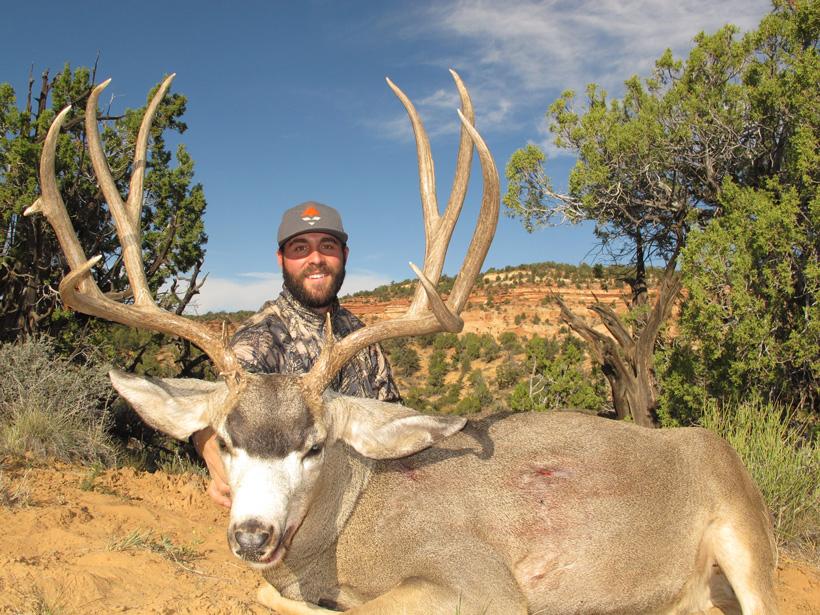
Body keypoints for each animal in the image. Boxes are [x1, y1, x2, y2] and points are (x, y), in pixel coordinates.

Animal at [26, 70, 779, 615]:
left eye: (314, 446)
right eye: (228, 442)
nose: (252, 534)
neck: (353, 527)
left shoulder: (484, 582)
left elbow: (341, 607)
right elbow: (266, 589)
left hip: (745, 535)